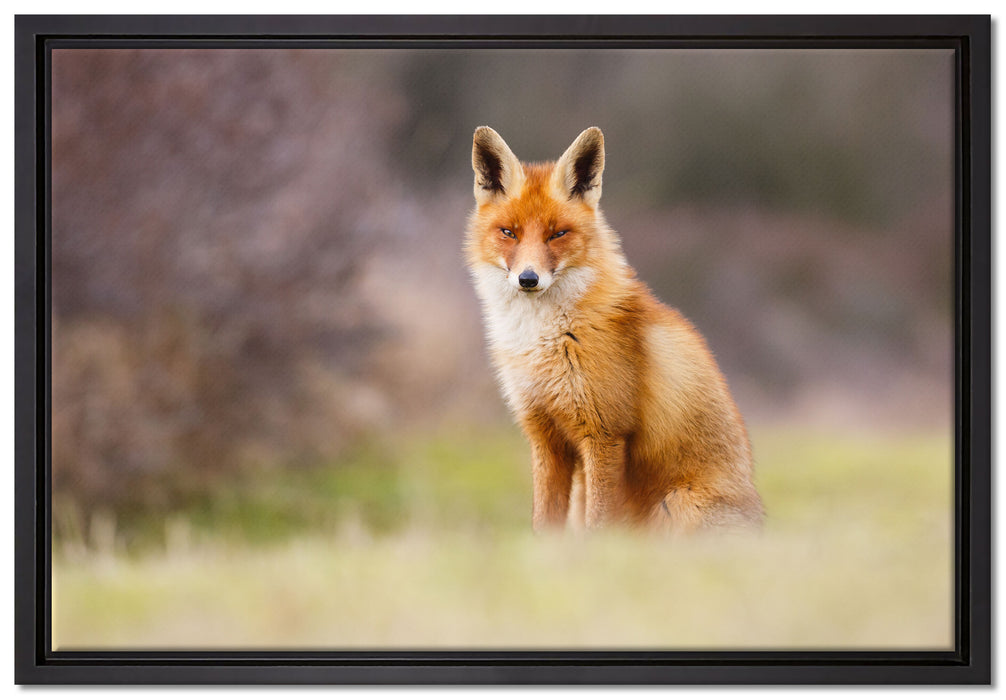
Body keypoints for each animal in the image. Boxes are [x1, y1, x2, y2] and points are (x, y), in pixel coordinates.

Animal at [465, 126, 764, 533]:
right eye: (509, 232)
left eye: (558, 234)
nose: (528, 279)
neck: (544, 340)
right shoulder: (544, 435)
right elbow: (544, 523)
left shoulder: (604, 433)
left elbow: (598, 524)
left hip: (676, 505)